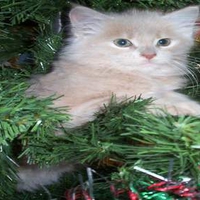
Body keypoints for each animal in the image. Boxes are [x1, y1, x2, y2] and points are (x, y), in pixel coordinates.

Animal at [18, 5, 200, 191]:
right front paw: (190, 108)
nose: (149, 55)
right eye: (122, 43)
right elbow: (147, 100)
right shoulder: (63, 115)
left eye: (163, 42)